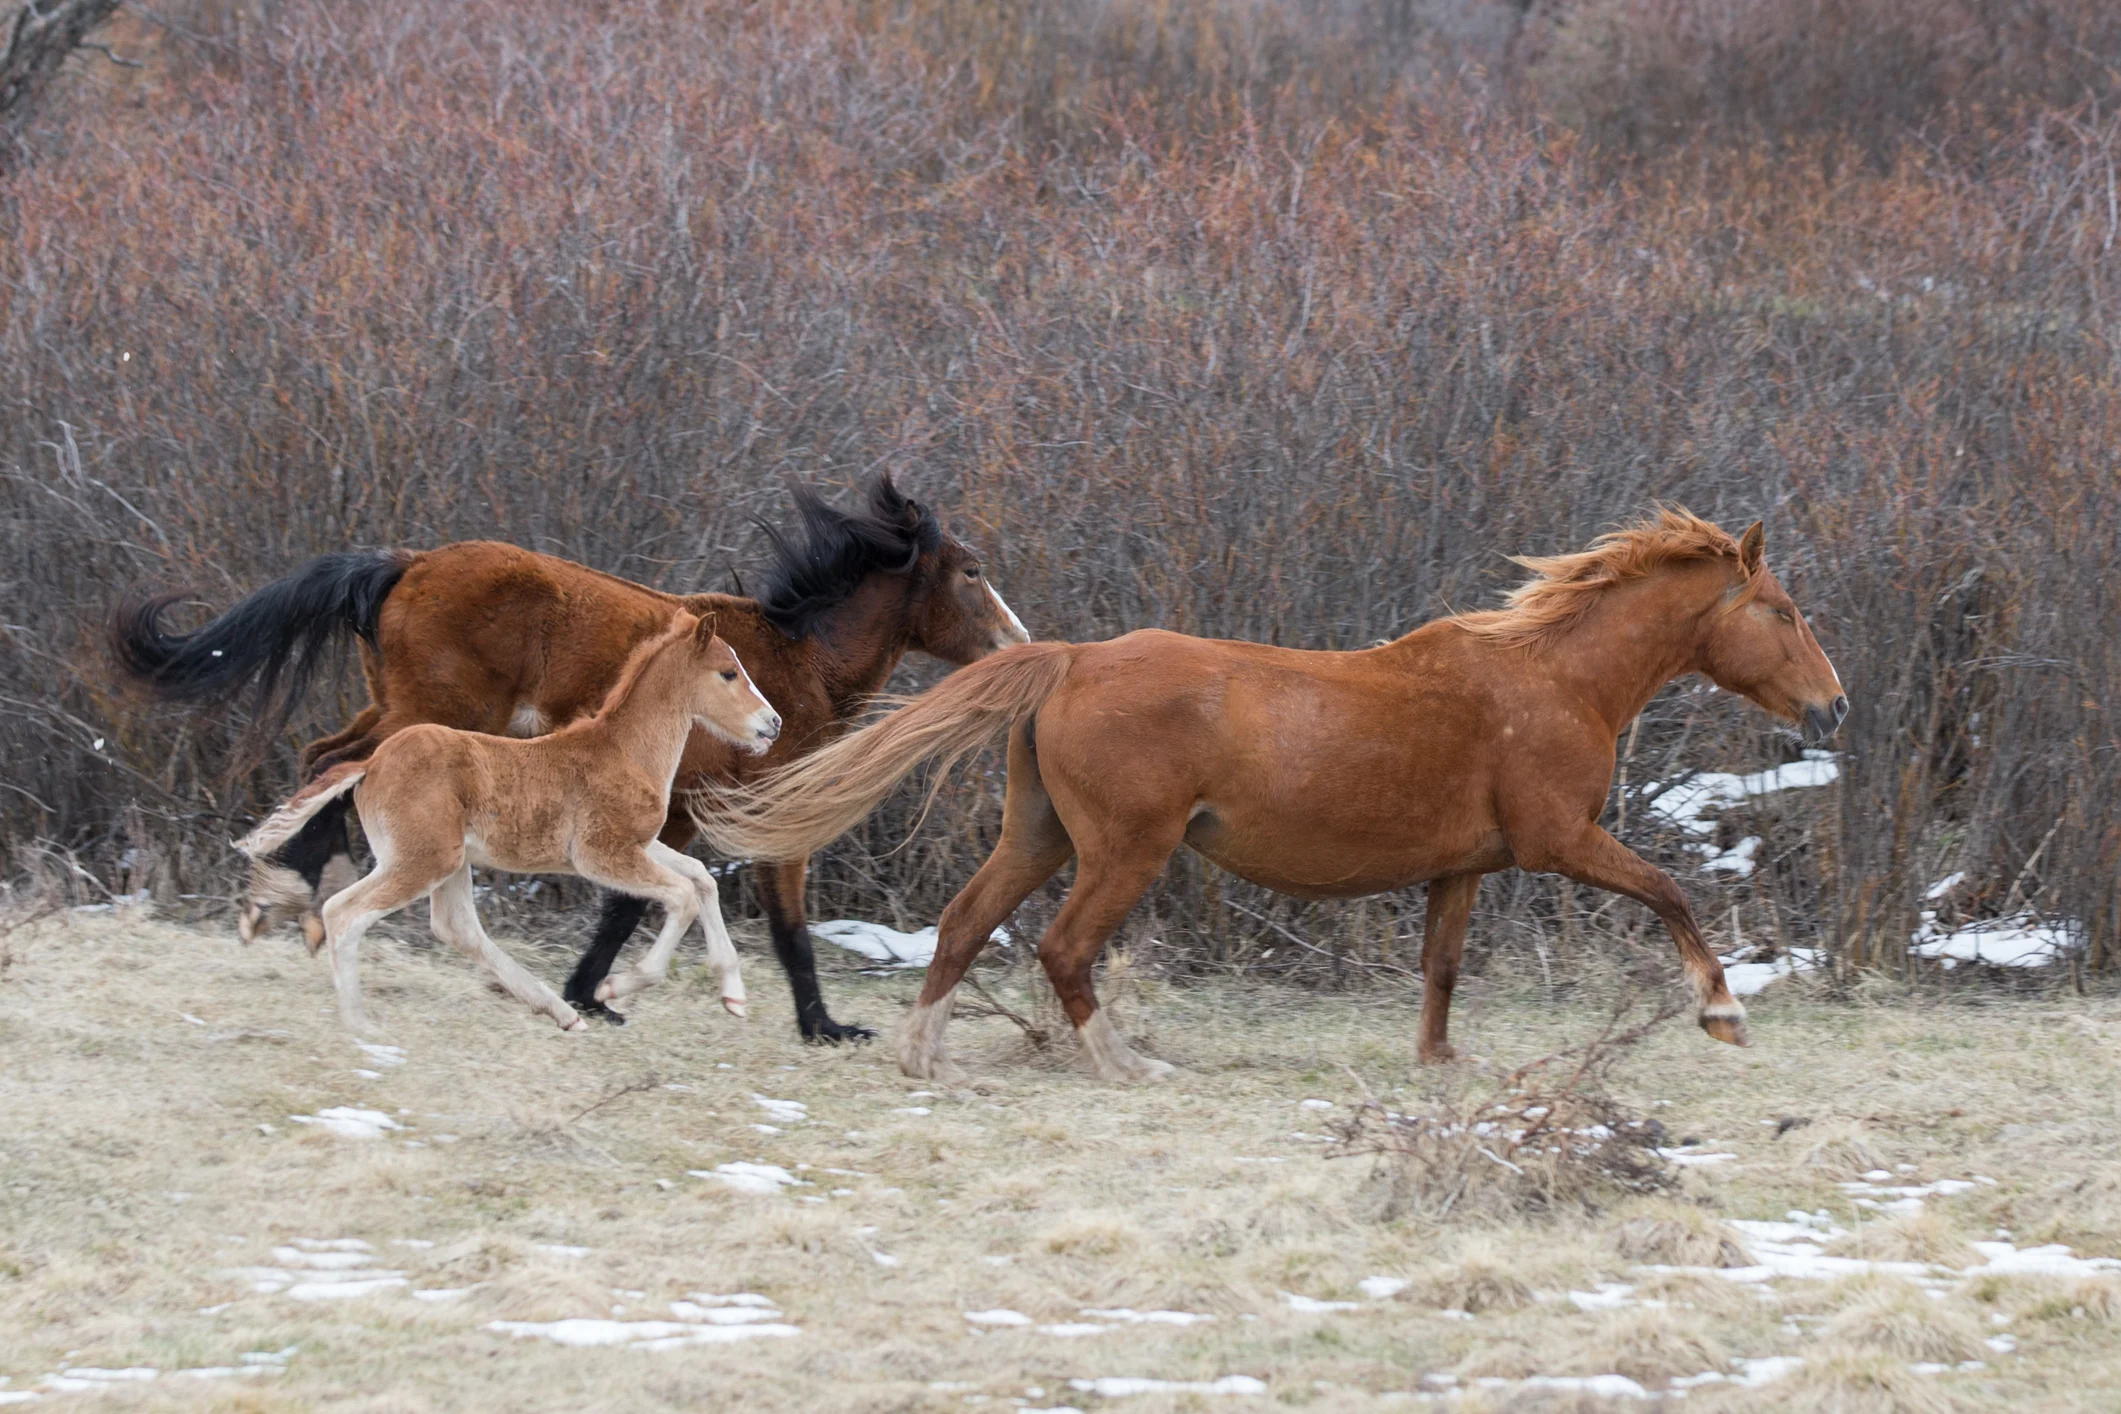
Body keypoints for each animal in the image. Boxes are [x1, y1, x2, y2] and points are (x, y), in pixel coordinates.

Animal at [237, 611, 783, 1034]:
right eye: (728, 673)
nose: (772, 723)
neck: (625, 752)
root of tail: (370, 764)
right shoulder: (601, 855)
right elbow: (683, 895)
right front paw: (614, 989)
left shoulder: (640, 844)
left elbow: (702, 880)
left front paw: (733, 995)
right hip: (423, 860)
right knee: (343, 913)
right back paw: (360, 1027)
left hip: (450, 862)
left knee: (455, 927)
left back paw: (562, 1014)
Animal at [695, 510, 1849, 1084]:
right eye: (1784, 610)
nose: (1833, 706)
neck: (1554, 680)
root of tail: (1070, 660)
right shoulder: (1557, 838)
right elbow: (1670, 893)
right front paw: (1723, 1015)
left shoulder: (1463, 867)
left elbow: (1440, 969)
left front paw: (1441, 1062)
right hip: (1126, 849)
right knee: (1063, 949)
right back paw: (1127, 1064)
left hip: (1039, 835)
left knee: (966, 922)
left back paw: (923, 1054)